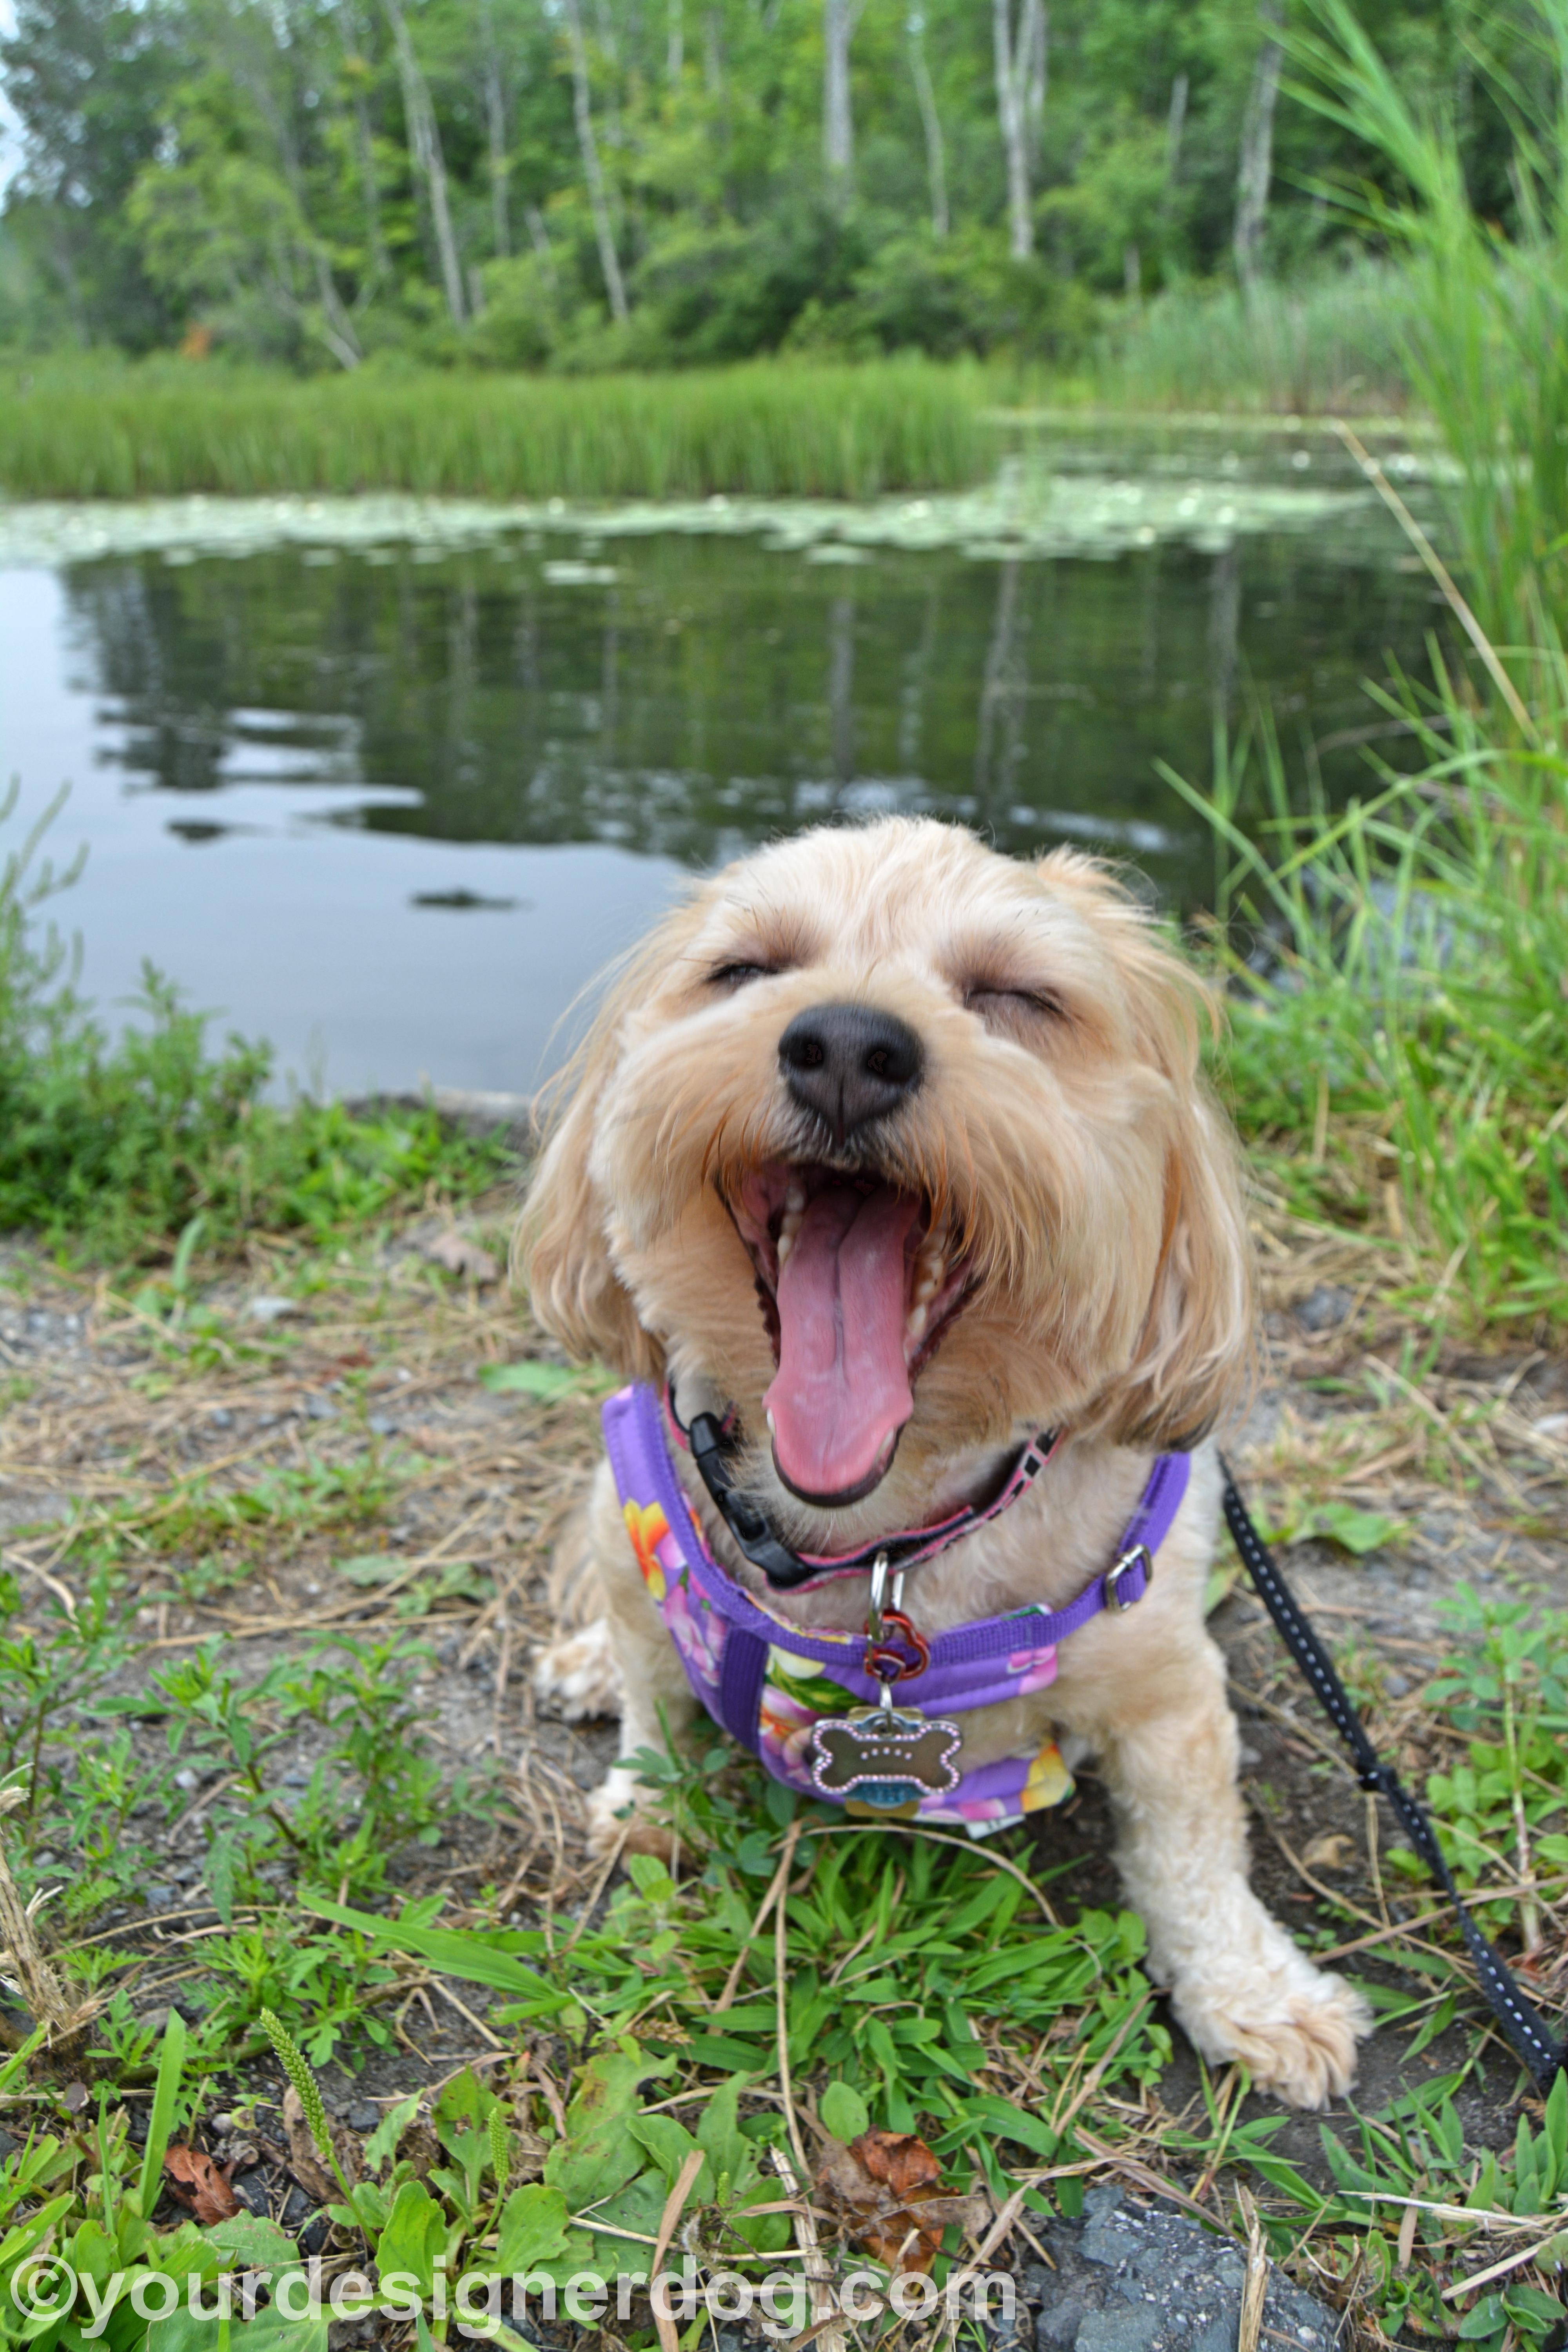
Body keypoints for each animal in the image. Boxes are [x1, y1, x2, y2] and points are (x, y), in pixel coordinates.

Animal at [522, 814, 1363, 2117]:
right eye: (746, 969)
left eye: (1019, 996)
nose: (844, 1046)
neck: (879, 1537)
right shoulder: (637, 1537)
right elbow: (660, 1702)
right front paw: (643, 1804)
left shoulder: (1167, 1676)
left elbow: (1192, 1846)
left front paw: (1255, 1994)